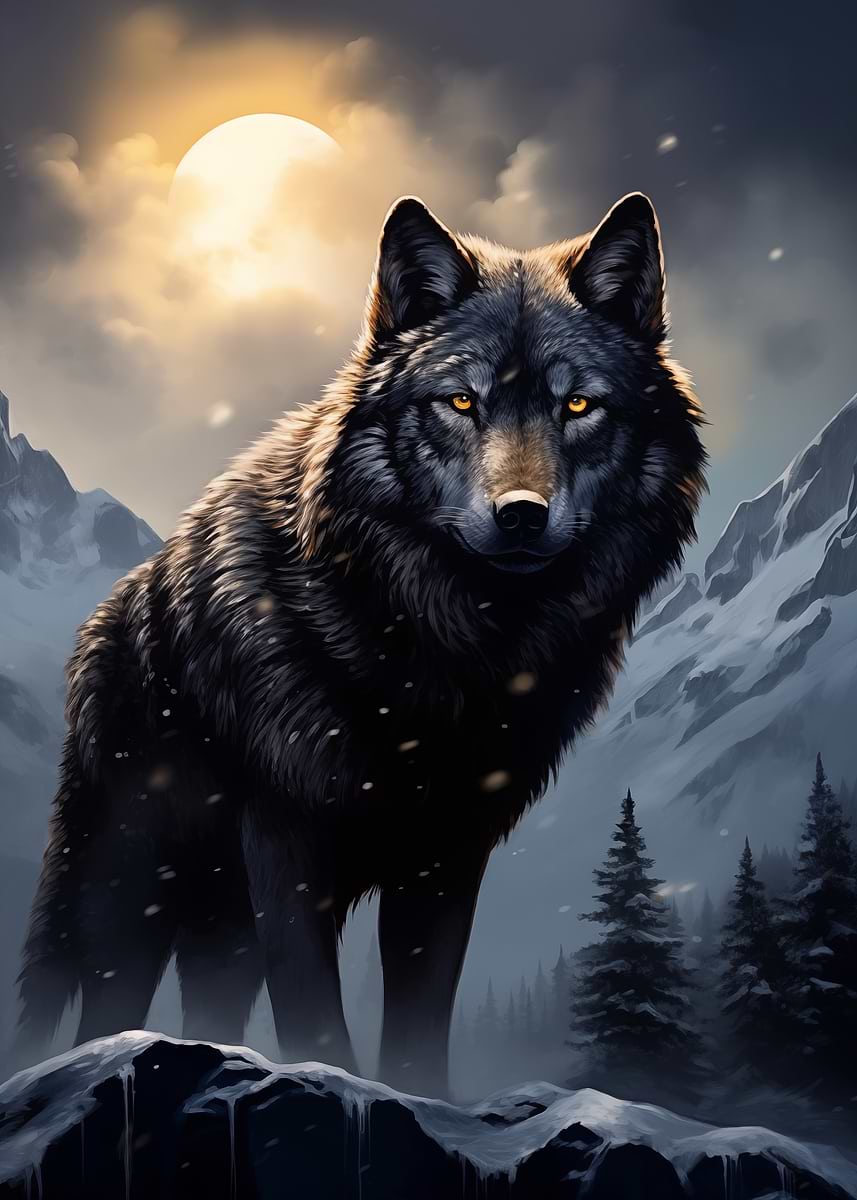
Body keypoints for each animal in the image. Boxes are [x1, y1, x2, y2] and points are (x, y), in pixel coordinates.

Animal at [16, 192, 706, 1097]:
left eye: (578, 406)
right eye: (460, 402)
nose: (521, 515)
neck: (435, 654)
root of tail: (109, 618)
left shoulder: (446, 857)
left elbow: (419, 1021)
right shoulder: (288, 844)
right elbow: (315, 1015)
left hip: (219, 924)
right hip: (132, 890)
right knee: (103, 1005)